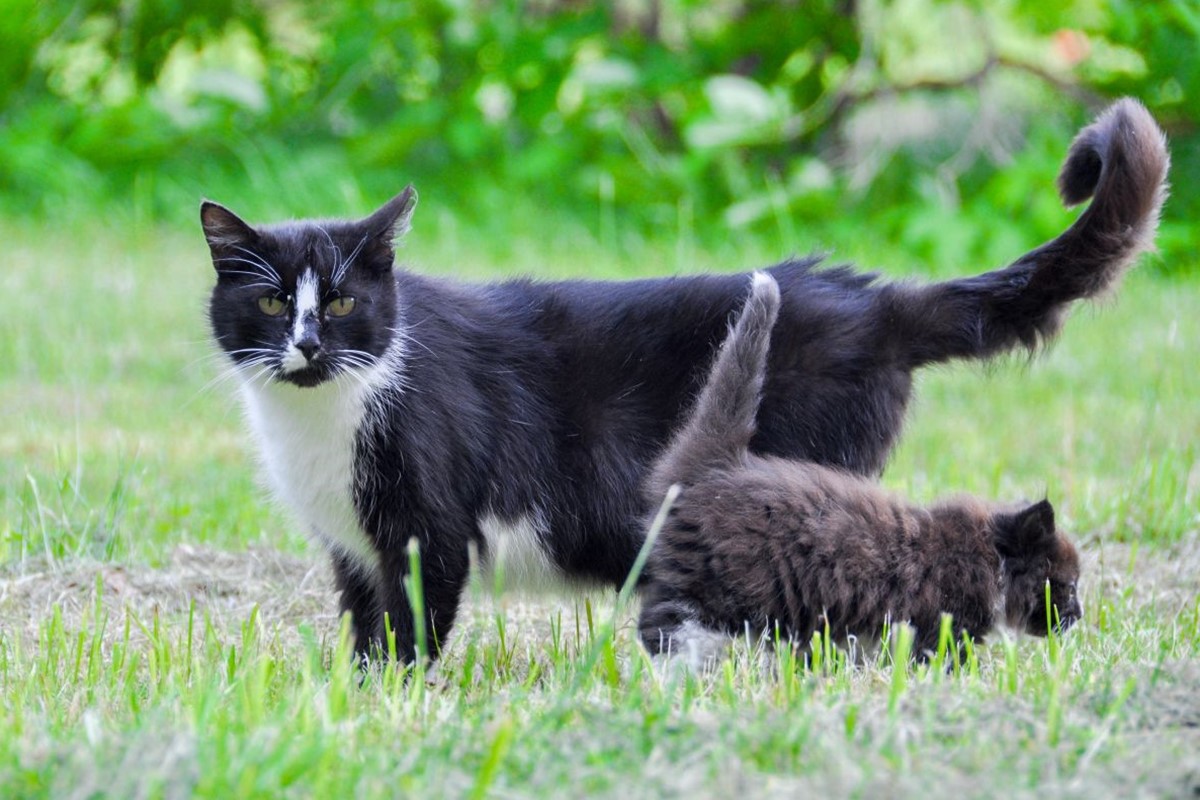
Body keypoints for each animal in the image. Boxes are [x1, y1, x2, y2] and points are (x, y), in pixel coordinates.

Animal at [643, 272, 1084, 666]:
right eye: (1068, 585)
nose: (1078, 616)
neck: (990, 552)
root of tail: (719, 461)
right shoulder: (941, 622)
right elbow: (942, 657)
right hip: (720, 586)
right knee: (664, 628)